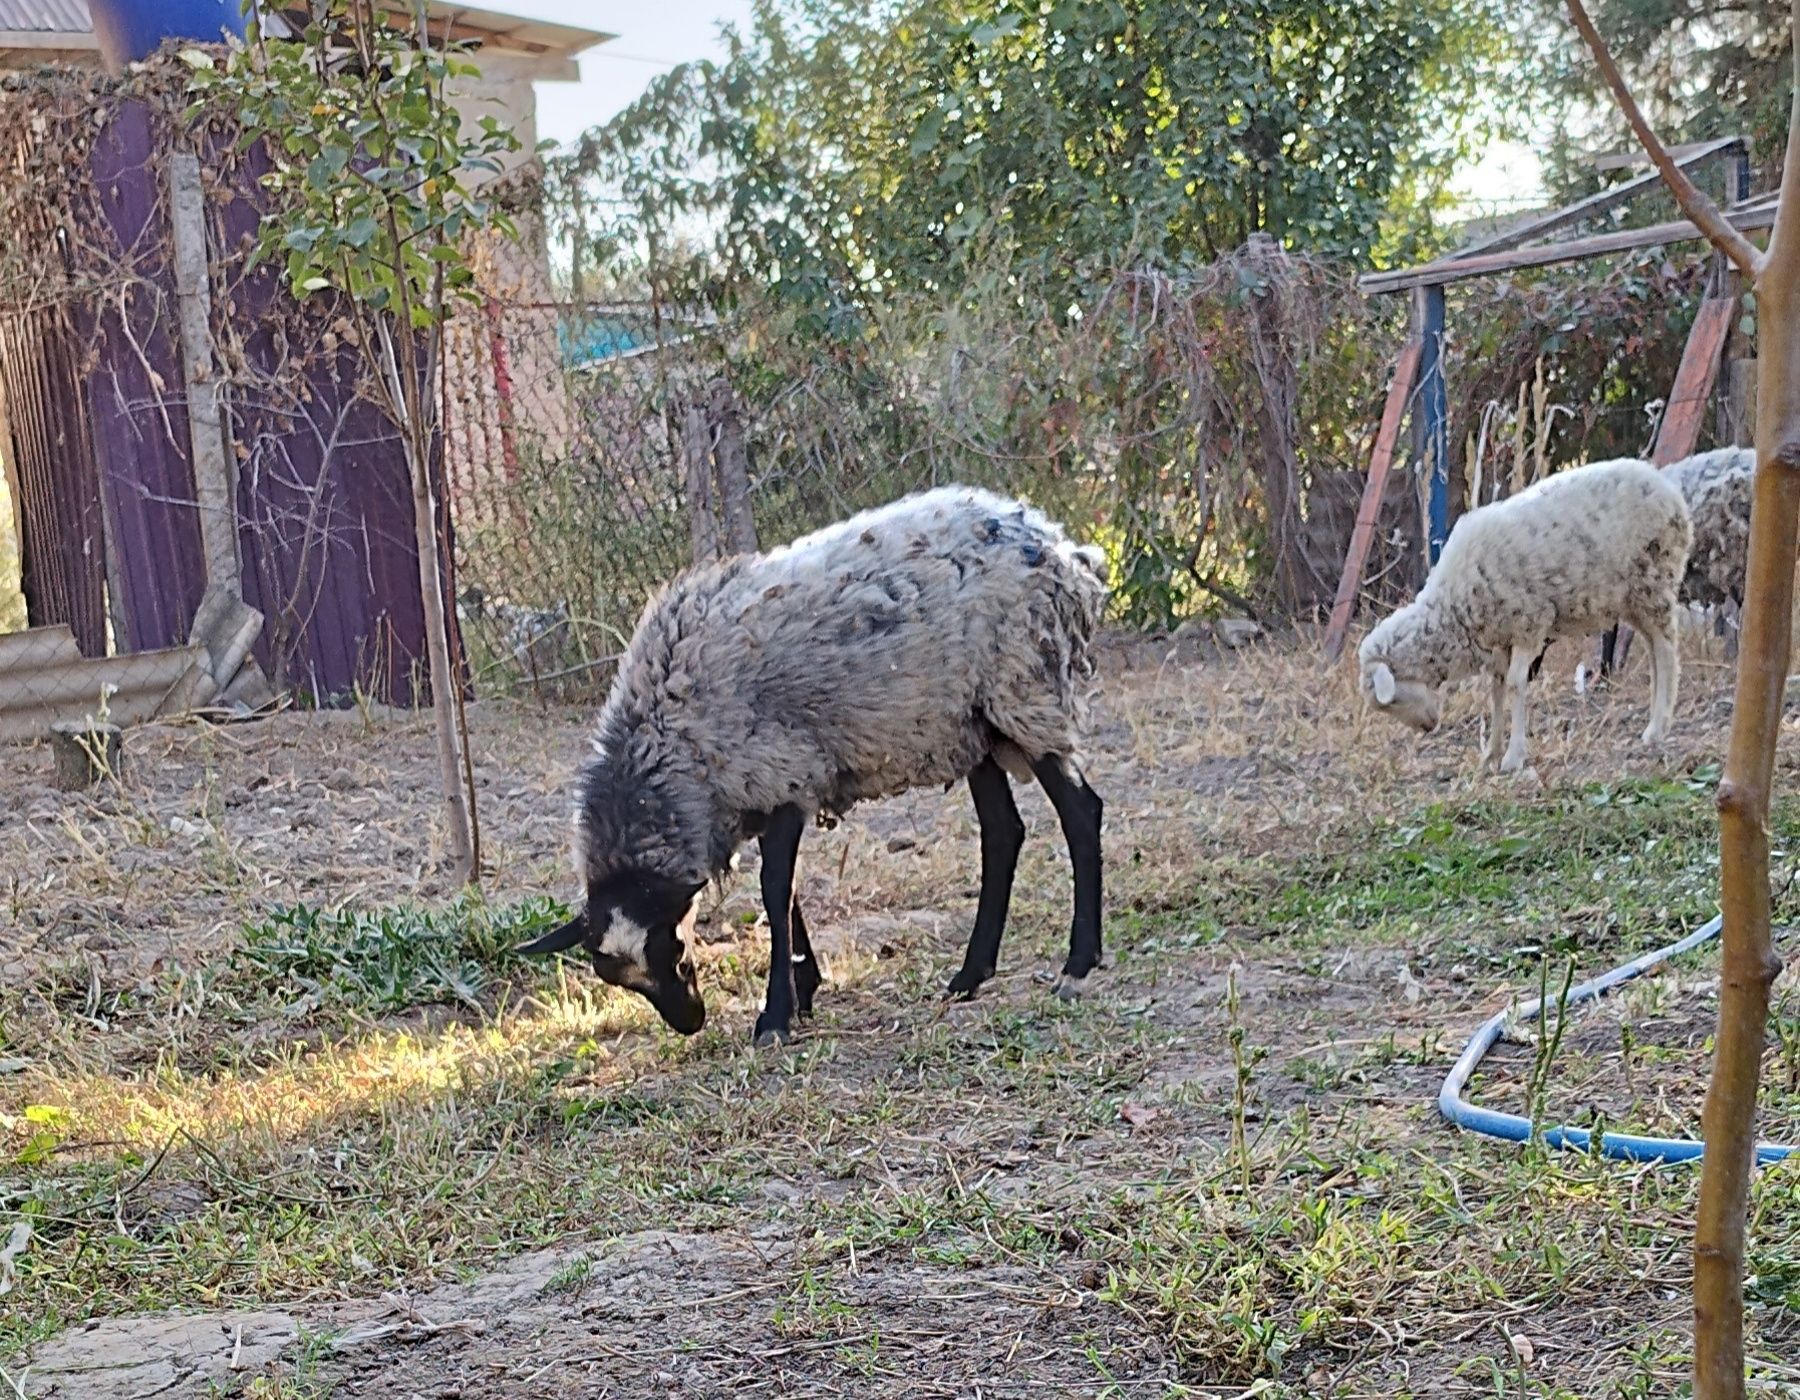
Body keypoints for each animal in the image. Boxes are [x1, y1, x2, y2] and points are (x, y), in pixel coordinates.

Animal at [518, 485, 1108, 1043]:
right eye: (622, 981)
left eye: (677, 953)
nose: (690, 1023)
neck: (670, 748)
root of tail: (1059, 546)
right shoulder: (759, 788)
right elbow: (788, 893)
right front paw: (804, 990)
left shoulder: (782, 773)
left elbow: (776, 889)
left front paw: (777, 1013)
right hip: (972, 724)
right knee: (1003, 832)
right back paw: (970, 975)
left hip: (1025, 689)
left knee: (1081, 813)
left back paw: (1076, 967)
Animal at [1353, 464, 1692, 780]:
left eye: (1391, 700)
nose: (1428, 727)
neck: (1453, 610)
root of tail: (1667, 487)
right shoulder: (1500, 638)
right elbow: (1497, 688)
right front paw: (1490, 754)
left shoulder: (1530, 624)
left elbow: (1516, 684)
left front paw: (1513, 757)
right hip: (1632, 597)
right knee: (1653, 648)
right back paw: (1658, 716)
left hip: (1654, 580)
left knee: (1666, 649)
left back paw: (1657, 726)